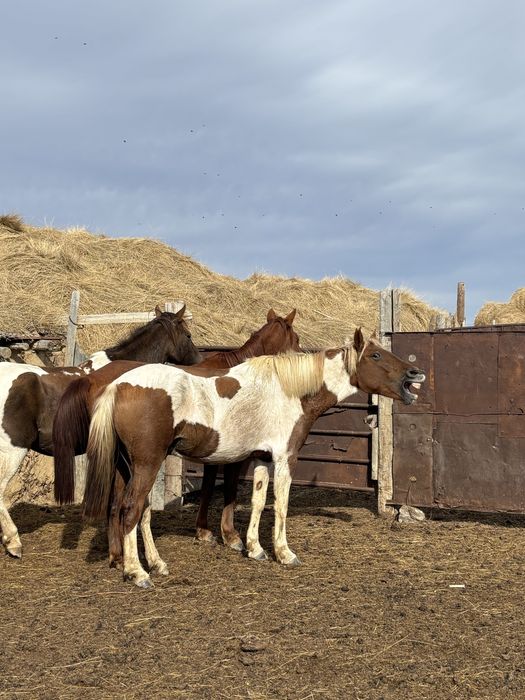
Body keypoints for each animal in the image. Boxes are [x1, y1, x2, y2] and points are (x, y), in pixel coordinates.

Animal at [52, 308, 301, 563]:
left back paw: (119, 554)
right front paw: (229, 536)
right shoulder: (232, 455)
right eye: (297, 339)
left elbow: (209, 486)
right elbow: (227, 489)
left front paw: (205, 531)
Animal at [82, 328, 425, 588]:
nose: (415, 372)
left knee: (139, 512)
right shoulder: (285, 458)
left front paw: (254, 548)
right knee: (131, 509)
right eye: (375, 355)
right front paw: (284, 553)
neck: (289, 391)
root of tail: (118, 385)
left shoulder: (261, 457)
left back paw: (155, 564)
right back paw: (137, 572)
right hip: (147, 464)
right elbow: (281, 504)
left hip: (135, 466)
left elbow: (259, 502)